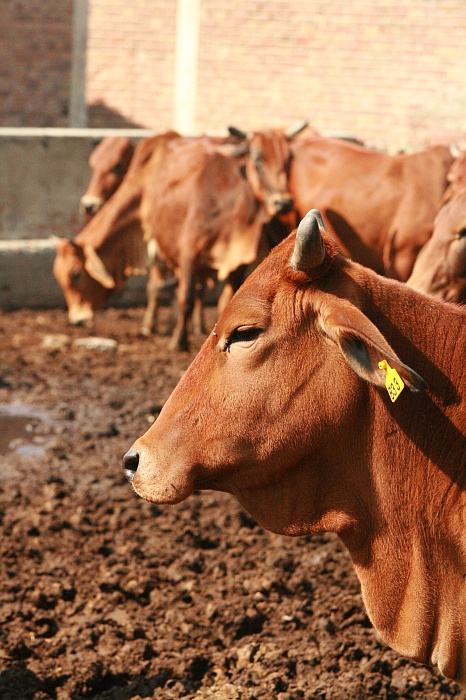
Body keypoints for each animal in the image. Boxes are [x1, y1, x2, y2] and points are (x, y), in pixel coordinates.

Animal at [54, 123, 307, 350]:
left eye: (289, 160)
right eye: (256, 158)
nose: (284, 202)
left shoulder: (236, 259)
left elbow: (225, 301)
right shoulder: (186, 253)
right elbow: (184, 295)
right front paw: (178, 340)